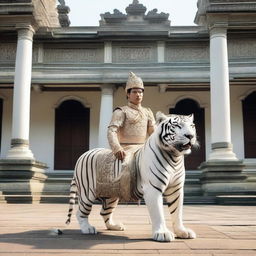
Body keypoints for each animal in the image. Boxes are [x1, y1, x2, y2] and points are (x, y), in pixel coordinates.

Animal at [65, 112, 197, 242]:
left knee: (104, 212)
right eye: (177, 126)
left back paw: (114, 226)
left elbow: (177, 212)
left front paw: (182, 231)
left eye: (192, 126)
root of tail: (82, 155)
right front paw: (162, 233)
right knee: (81, 212)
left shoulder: (176, 189)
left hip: (111, 194)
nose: (190, 136)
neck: (175, 158)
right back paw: (87, 228)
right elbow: (158, 213)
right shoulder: (153, 189)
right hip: (88, 193)